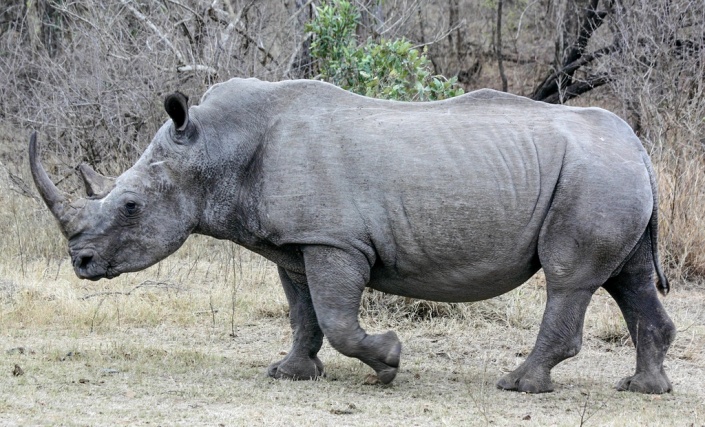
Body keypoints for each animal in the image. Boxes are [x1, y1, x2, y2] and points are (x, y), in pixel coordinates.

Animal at [30, 77, 675, 394]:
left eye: (131, 206)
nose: (81, 261)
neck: (215, 147)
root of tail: (640, 146)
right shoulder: (295, 243)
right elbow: (302, 312)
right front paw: (290, 374)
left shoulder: (334, 239)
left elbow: (337, 318)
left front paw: (388, 363)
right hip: (609, 172)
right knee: (629, 279)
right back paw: (642, 389)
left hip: (594, 175)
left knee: (570, 278)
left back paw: (519, 386)